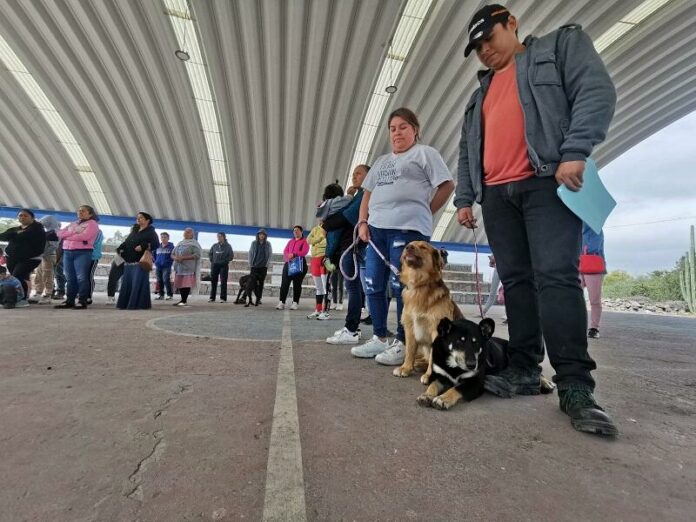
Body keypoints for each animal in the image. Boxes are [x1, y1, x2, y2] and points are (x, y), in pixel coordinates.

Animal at [396, 241, 462, 382]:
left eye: (423, 247)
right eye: (409, 244)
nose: (408, 247)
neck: (419, 285)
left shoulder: (436, 331)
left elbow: (433, 358)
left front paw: (429, 375)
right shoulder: (409, 327)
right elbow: (410, 350)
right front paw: (406, 368)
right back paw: (418, 363)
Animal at [418, 314, 556, 408]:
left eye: (476, 342)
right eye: (459, 341)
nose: (472, 365)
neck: (454, 367)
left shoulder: (475, 383)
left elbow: (456, 389)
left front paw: (443, 399)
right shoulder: (440, 377)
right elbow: (432, 385)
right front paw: (426, 395)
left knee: (537, 370)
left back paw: (547, 383)